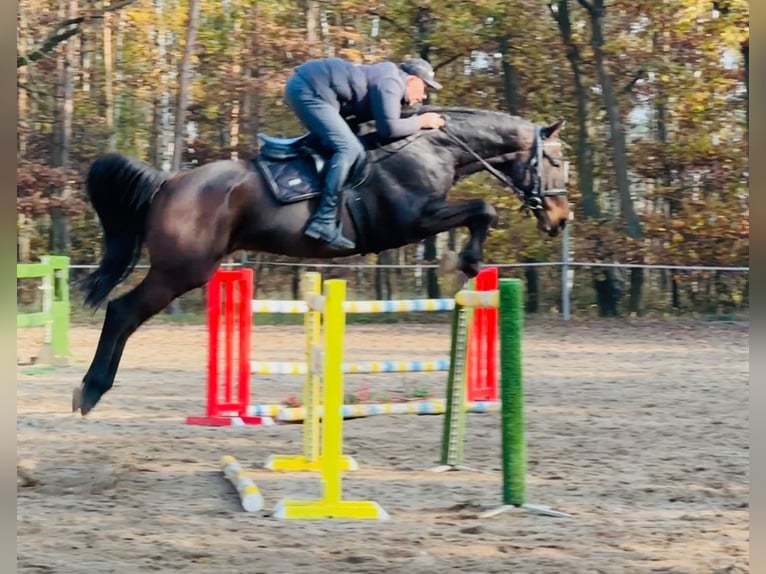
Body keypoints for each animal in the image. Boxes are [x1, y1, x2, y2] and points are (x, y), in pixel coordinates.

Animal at [72, 106, 572, 416]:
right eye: (554, 161)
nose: (561, 219)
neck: (433, 147)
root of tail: (168, 183)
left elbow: (480, 212)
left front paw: (464, 264)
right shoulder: (412, 221)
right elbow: (483, 210)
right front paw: (462, 263)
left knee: (124, 313)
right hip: (180, 271)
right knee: (122, 311)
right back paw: (91, 389)